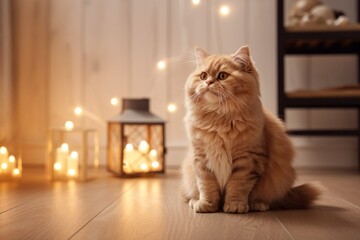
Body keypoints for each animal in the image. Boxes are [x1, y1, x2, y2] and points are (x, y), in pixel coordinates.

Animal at [183, 46, 320, 213]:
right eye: (203, 76)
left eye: (222, 76)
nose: (208, 82)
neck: (219, 118)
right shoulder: (201, 159)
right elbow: (207, 186)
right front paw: (207, 204)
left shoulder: (247, 160)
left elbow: (238, 186)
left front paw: (235, 205)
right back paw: (194, 200)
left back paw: (258, 204)